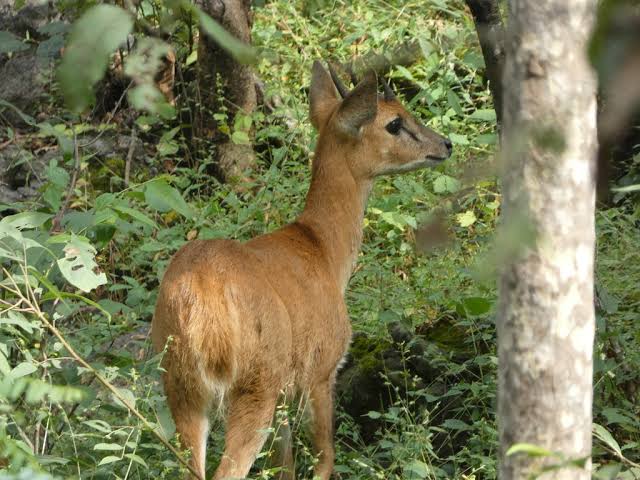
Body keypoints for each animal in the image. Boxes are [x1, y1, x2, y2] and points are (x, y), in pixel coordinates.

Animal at [152, 62, 452, 478]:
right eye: (395, 122)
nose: (445, 144)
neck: (323, 250)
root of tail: (199, 301)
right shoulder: (322, 371)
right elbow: (325, 459)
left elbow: (286, 467)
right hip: (255, 385)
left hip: (181, 387)